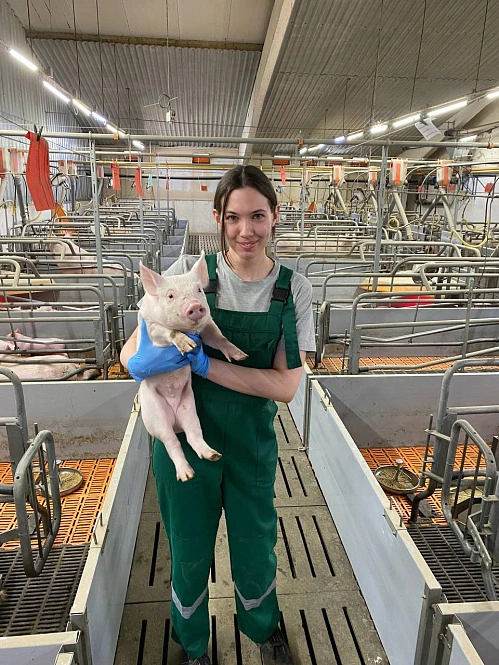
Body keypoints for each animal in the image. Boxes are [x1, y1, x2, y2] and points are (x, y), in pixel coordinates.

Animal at [138, 252, 248, 482]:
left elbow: (219, 338)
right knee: (172, 443)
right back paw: (186, 475)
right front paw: (189, 346)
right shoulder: (151, 328)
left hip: (189, 409)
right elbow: (168, 332)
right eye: (170, 296)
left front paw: (241, 356)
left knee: (193, 435)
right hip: (156, 416)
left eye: (198, 290)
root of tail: (175, 421)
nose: (195, 305)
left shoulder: (208, 324)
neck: (188, 329)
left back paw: (213, 455)